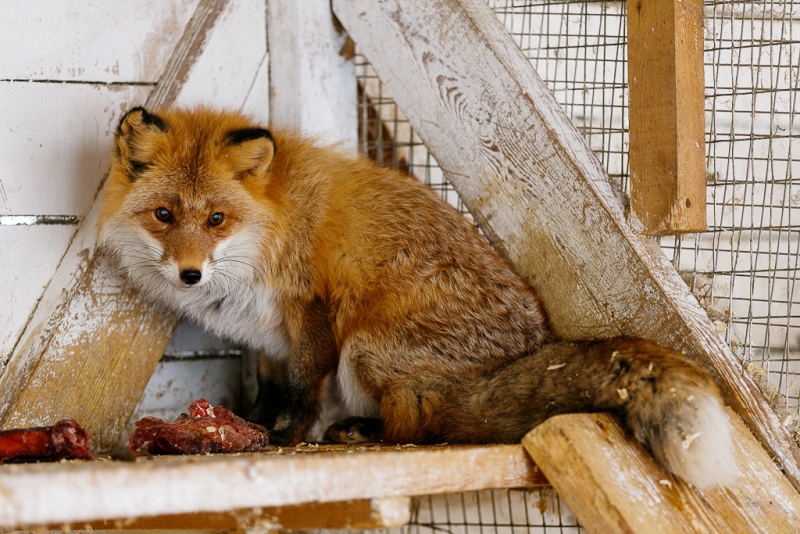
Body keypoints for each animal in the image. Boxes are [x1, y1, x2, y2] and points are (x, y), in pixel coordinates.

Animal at [97, 108, 736, 490]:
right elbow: (269, 389)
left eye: (216, 219)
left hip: (366, 348)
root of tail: (518, 357)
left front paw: (286, 437)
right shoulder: (262, 336)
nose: (190, 275)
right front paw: (246, 428)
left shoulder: (310, 311)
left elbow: (302, 389)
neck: (270, 230)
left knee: (419, 428)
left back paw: (363, 432)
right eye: (164, 215)